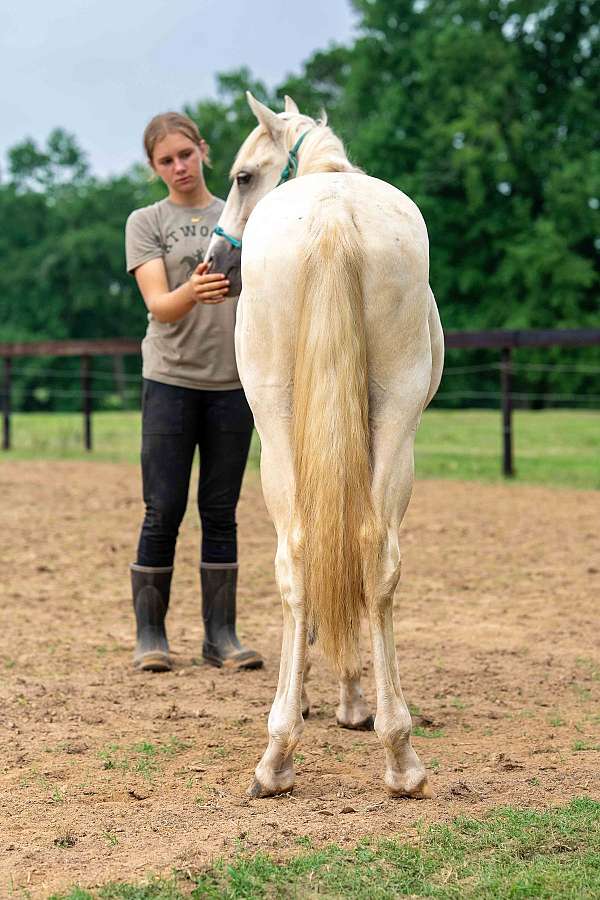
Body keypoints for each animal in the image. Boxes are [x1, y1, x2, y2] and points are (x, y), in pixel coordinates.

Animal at [206, 93, 444, 799]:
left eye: (242, 177)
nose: (214, 263)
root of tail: (335, 217)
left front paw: (333, 698)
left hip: (276, 425)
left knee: (300, 553)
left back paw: (278, 754)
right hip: (394, 419)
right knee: (371, 553)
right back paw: (400, 756)